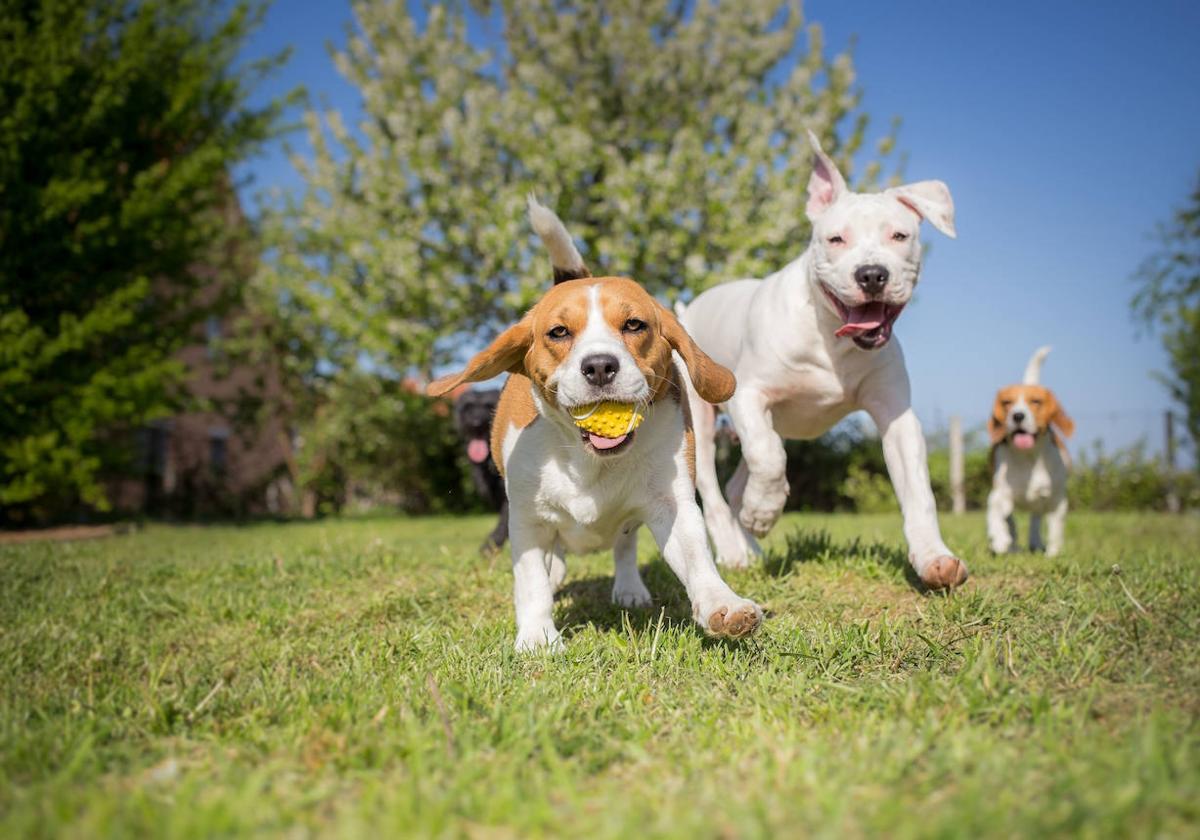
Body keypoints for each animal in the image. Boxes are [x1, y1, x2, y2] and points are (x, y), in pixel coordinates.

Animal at [676, 129, 964, 590]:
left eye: (899, 237)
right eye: (836, 239)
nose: (871, 274)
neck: (831, 337)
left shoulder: (896, 416)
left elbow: (919, 492)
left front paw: (933, 557)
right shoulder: (749, 395)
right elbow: (769, 458)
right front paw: (764, 512)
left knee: (739, 483)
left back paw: (751, 545)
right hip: (701, 421)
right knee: (716, 488)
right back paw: (736, 550)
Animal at [984, 348, 1080, 556]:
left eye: (1036, 401)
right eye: (1007, 402)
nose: (1018, 416)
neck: (1028, 458)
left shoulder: (1057, 500)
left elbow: (1055, 529)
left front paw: (1052, 555)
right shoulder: (999, 492)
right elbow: (995, 512)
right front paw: (999, 539)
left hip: (1041, 500)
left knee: (1036, 519)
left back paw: (1036, 543)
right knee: (1011, 522)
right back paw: (1011, 546)